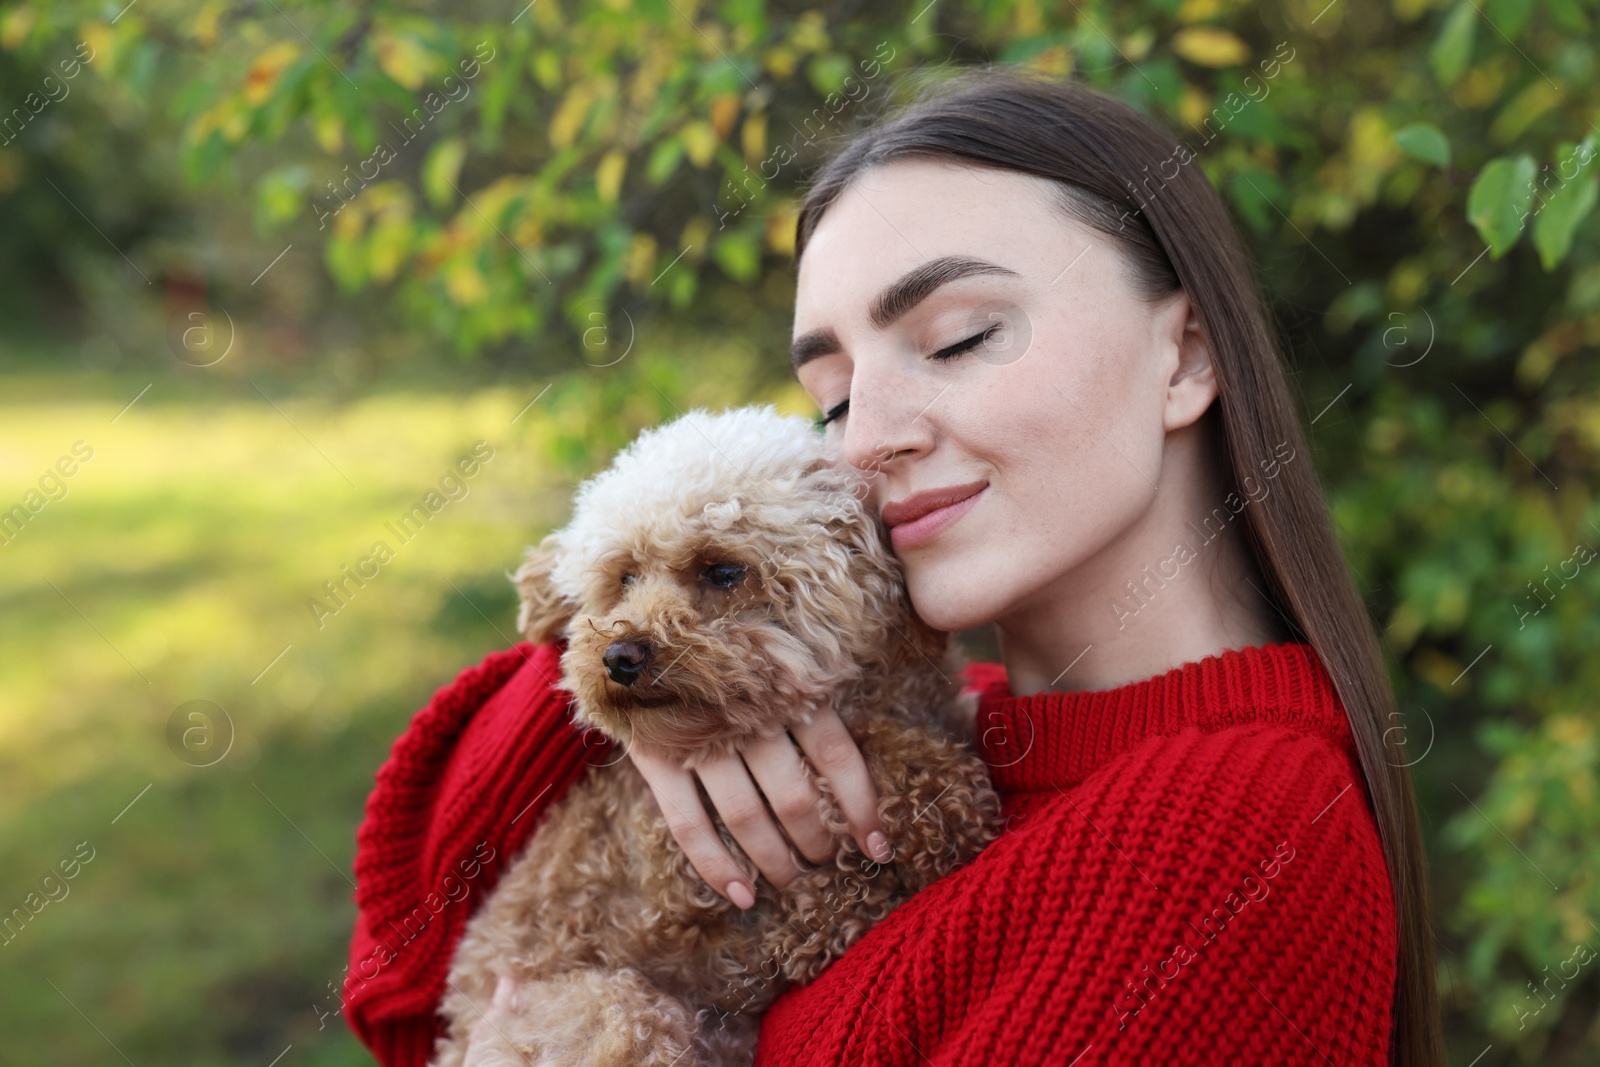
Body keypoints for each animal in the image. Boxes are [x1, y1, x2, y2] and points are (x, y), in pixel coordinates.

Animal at [432, 404, 992, 1062]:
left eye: (723, 571)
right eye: (625, 577)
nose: (620, 657)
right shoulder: (699, 865)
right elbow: (835, 793)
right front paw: (937, 800)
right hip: (609, 1015)